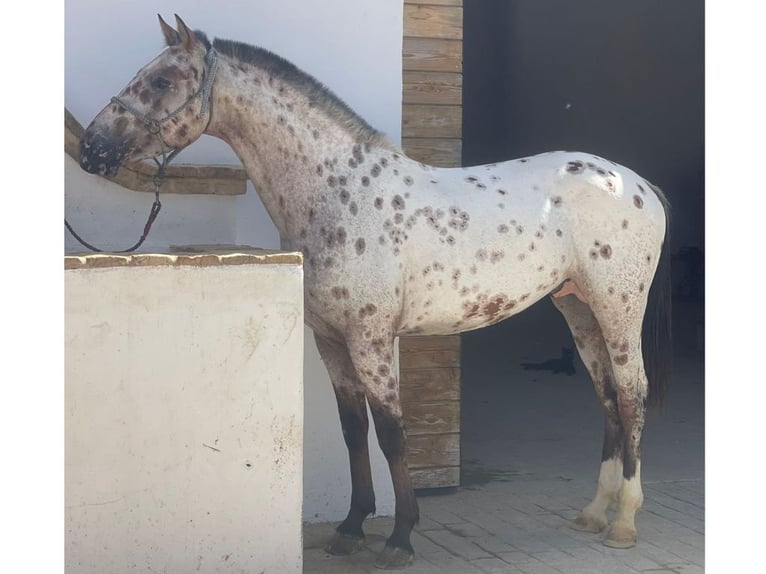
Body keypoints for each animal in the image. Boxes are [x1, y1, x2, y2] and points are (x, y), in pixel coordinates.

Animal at [75, 14, 668, 572]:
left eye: (161, 79)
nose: (90, 150)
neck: (339, 192)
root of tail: (638, 185)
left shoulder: (372, 340)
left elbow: (391, 433)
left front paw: (400, 538)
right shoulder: (331, 341)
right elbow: (353, 430)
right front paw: (351, 528)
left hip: (618, 307)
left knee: (632, 395)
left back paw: (624, 522)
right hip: (577, 308)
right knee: (607, 398)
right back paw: (594, 512)